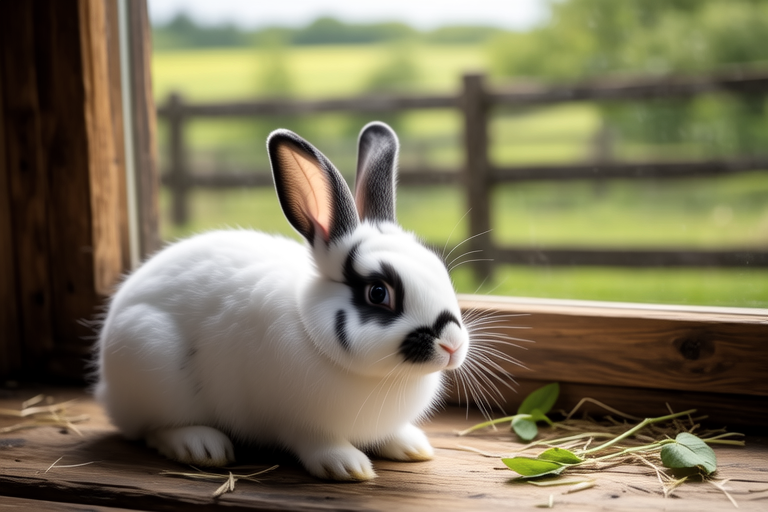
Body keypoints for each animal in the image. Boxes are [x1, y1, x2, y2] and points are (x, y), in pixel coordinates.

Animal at [94, 121, 473, 481]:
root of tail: (106, 386)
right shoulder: (296, 422)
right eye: (378, 293)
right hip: (150, 362)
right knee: (152, 429)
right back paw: (200, 445)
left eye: (439, 269)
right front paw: (347, 466)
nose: (452, 344)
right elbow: (317, 443)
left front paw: (412, 446)